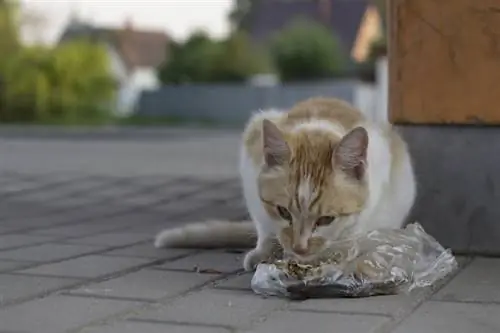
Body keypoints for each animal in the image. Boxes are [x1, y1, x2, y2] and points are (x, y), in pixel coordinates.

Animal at [154, 96, 416, 270]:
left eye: (326, 219)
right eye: (283, 212)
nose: (300, 248)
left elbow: (355, 229)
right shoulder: (251, 170)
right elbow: (264, 225)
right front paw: (264, 250)